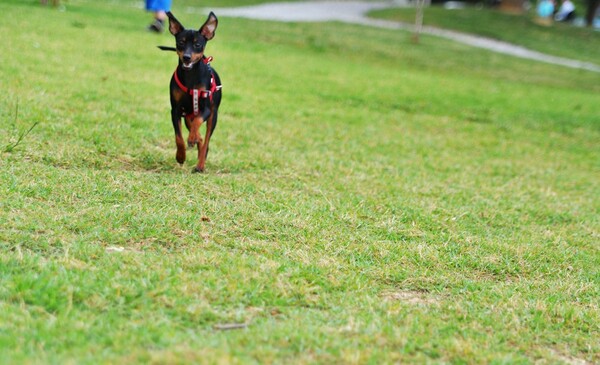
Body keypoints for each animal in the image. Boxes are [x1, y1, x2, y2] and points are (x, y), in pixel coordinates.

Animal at [162, 9, 223, 172]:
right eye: (181, 42)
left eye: (197, 44)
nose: (187, 57)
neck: (191, 76)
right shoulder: (176, 110)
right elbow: (178, 137)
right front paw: (180, 156)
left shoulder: (206, 109)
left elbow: (198, 122)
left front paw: (191, 138)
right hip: (187, 116)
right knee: (200, 138)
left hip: (213, 116)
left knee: (206, 139)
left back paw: (200, 165)